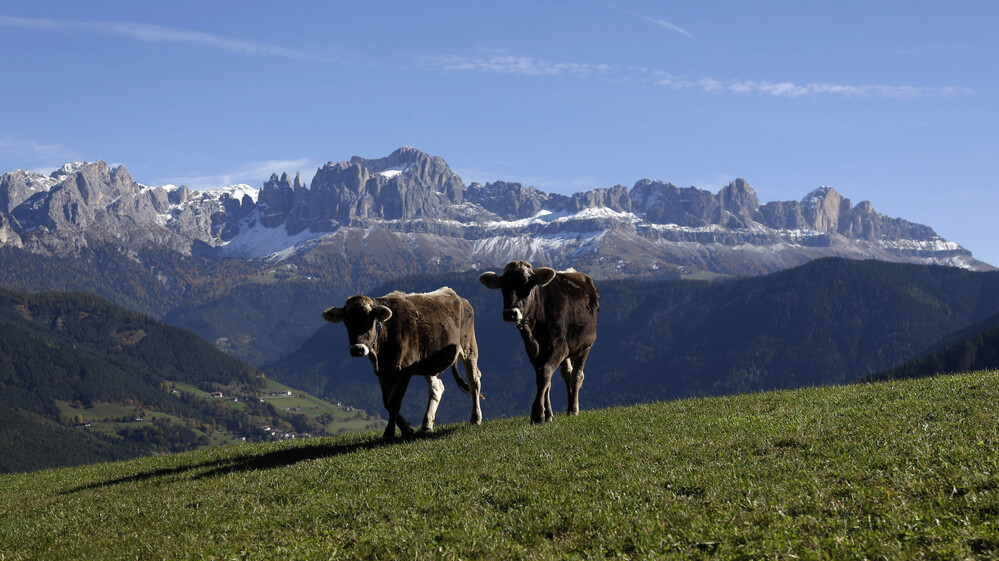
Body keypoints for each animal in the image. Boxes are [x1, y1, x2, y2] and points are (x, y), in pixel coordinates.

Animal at [322, 287, 483, 440]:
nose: (357, 349)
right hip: (430, 362)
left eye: (370, 321)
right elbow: (387, 403)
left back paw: (475, 418)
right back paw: (427, 424)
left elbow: (394, 402)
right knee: (437, 388)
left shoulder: (405, 370)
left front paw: (389, 432)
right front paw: (406, 428)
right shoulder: (381, 372)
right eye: (347, 322)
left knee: (474, 381)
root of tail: (458, 297)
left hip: (469, 347)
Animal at [479, 261, 599, 424]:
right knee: (567, 373)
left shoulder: (560, 345)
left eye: (528, 284)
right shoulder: (533, 350)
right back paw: (568, 408)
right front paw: (547, 414)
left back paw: (573, 409)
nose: (510, 313)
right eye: (503, 285)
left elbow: (545, 374)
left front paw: (537, 414)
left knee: (577, 375)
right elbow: (543, 378)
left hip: (585, 345)